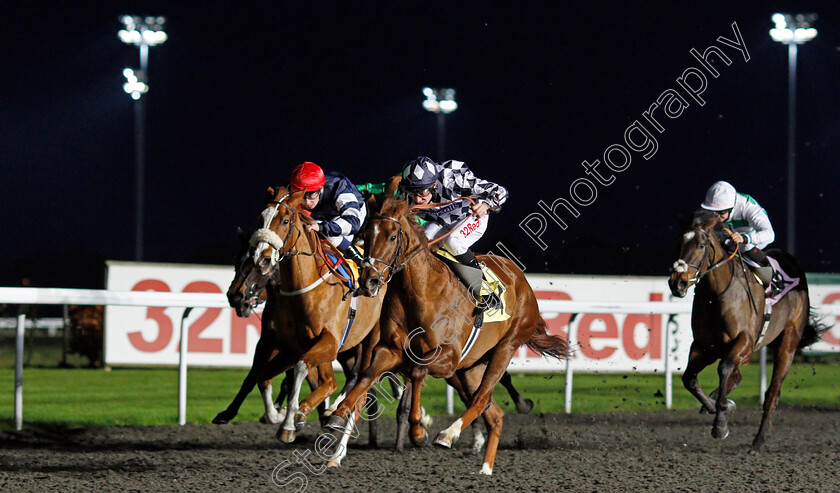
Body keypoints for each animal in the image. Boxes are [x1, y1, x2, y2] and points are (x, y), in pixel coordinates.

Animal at [326, 193, 564, 472]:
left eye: (392, 236)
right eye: (365, 234)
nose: (369, 281)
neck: (422, 291)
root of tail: (523, 281)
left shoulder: (449, 357)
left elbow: (417, 371)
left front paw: (418, 431)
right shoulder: (390, 349)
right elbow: (366, 376)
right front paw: (337, 413)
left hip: (505, 348)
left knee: (482, 398)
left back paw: (448, 435)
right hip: (471, 367)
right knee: (494, 413)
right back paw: (485, 468)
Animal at [668, 210, 828, 450]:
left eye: (701, 245)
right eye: (678, 242)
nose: (677, 283)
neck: (717, 296)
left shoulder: (745, 343)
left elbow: (724, 369)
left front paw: (720, 424)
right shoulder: (704, 347)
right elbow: (690, 379)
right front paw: (715, 405)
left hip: (787, 342)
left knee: (772, 393)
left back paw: (759, 440)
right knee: (737, 377)